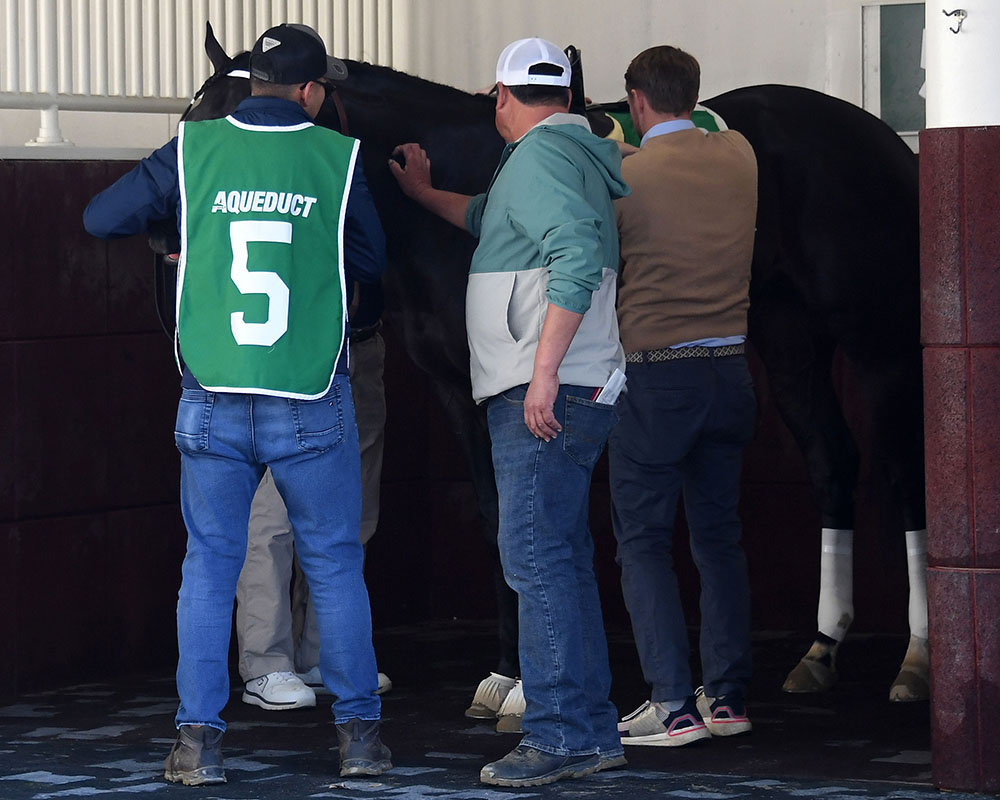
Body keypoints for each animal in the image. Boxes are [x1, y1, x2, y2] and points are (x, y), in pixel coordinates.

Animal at [170, 23, 920, 700]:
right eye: (188, 125)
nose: (178, 233)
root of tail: (884, 141)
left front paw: (534, 682)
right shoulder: (459, 389)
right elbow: (495, 516)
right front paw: (509, 674)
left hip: (879, 345)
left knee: (902, 475)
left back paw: (915, 659)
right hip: (790, 337)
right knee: (833, 461)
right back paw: (822, 648)